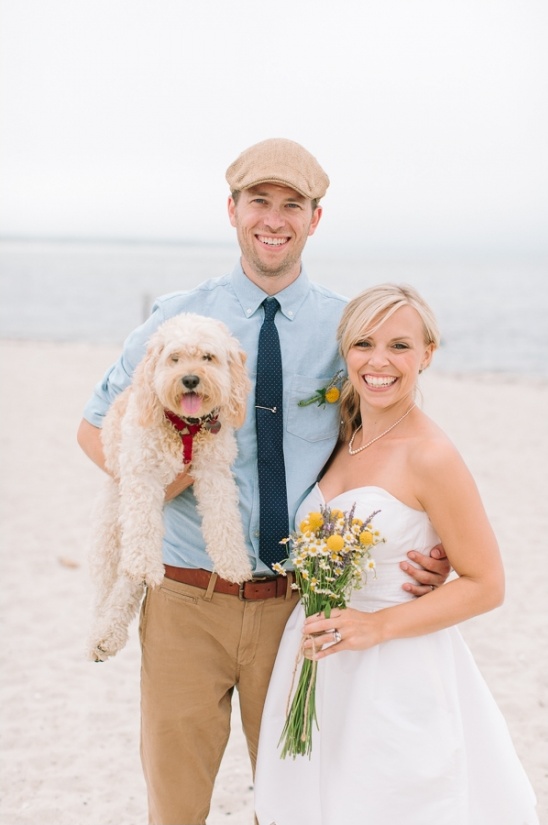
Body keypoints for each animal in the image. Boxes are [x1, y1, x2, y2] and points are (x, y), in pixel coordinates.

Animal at [87, 312, 253, 660]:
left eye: (208, 357)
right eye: (174, 358)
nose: (189, 379)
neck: (184, 427)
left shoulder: (214, 472)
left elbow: (224, 521)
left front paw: (233, 563)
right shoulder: (142, 475)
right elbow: (143, 527)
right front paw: (144, 565)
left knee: (126, 584)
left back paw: (109, 635)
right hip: (110, 530)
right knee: (105, 589)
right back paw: (99, 634)